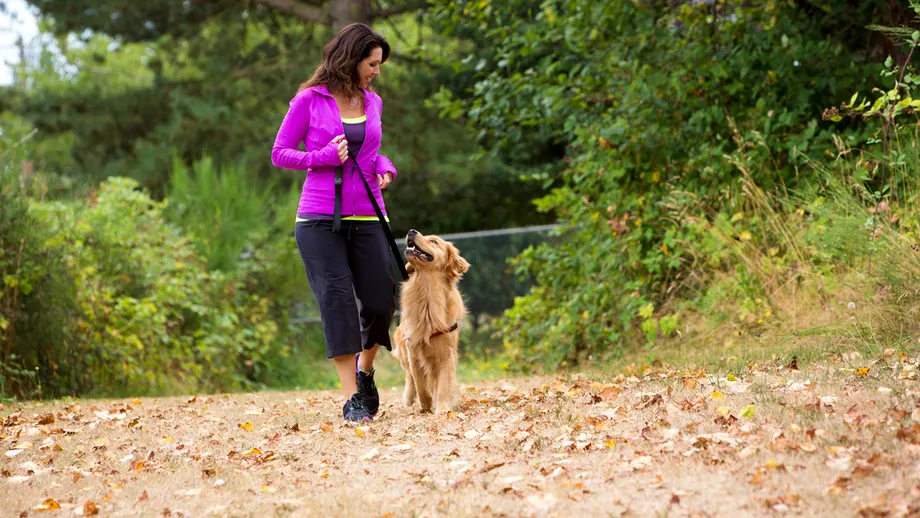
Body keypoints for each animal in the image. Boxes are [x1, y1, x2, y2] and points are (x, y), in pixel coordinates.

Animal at [392, 230, 470, 416]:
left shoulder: (446, 354)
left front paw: (442, 408)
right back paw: (408, 399)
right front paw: (426, 404)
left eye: (434, 241)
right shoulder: (413, 350)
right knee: (409, 377)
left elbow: (443, 384)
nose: (411, 231)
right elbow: (420, 384)